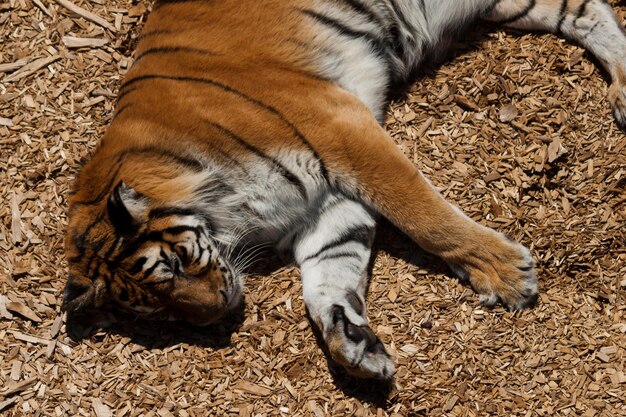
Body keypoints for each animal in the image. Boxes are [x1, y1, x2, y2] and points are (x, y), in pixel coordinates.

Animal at [62, 0, 624, 378]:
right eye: (156, 310)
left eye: (177, 264)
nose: (218, 312)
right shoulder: (327, 206)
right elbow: (329, 277)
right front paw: (350, 343)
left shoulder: (339, 125)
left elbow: (423, 215)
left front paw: (506, 274)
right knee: (585, 11)